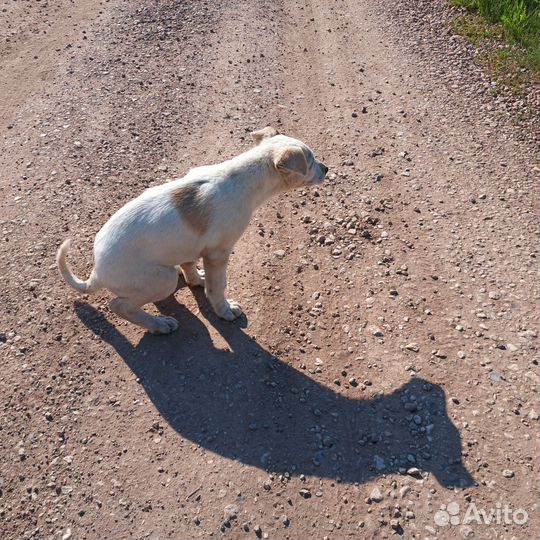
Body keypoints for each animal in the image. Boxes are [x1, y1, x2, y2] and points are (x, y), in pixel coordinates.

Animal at [58, 129, 330, 336]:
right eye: (311, 162)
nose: (326, 169)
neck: (243, 178)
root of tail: (97, 270)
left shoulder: (194, 246)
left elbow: (190, 264)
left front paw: (196, 279)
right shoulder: (219, 253)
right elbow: (217, 288)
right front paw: (225, 311)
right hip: (162, 279)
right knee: (119, 305)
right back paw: (159, 325)